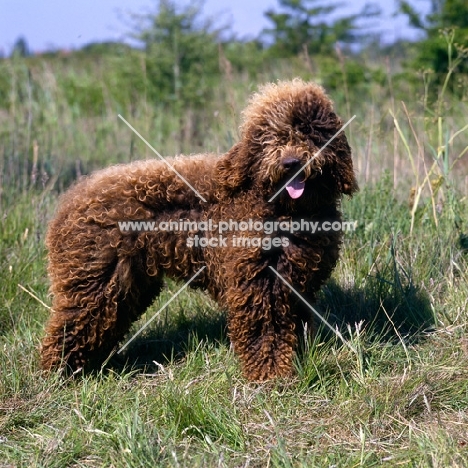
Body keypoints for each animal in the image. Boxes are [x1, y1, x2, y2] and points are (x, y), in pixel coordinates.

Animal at [42, 79, 356, 380]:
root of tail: (70, 199)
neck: (282, 207)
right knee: (70, 326)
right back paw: (58, 373)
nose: (291, 162)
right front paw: (271, 375)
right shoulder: (259, 283)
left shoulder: (298, 282)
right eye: (270, 135)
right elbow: (266, 332)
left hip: (126, 284)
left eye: (310, 132)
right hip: (93, 281)